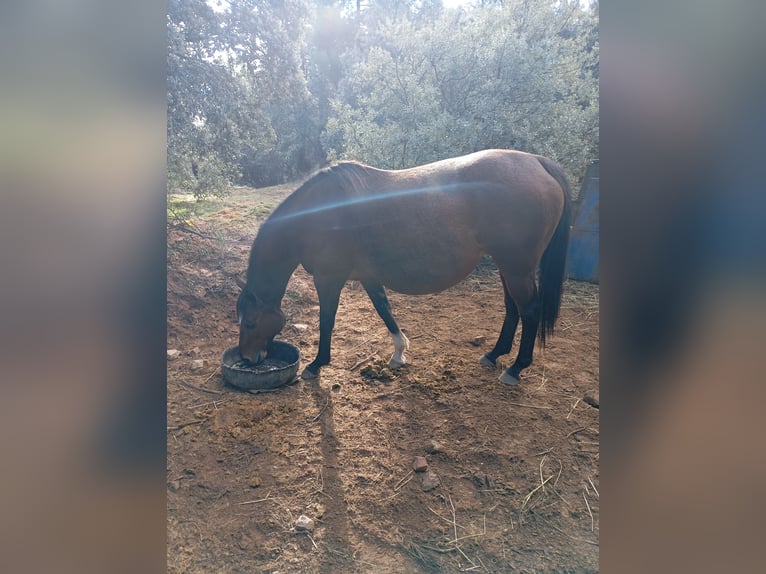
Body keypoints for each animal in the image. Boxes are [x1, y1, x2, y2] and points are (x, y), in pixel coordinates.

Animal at [236, 149, 571, 385]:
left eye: (250, 323)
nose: (247, 359)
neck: (316, 216)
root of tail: (538, 162)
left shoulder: (329, 279)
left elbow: (327, 322)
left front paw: (317, 364)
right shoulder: (367, 276)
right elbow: (385, 310)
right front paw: (399, 353)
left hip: (517, 269)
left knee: (529, 311)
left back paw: (515, 368)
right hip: (508, 267)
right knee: (513, 308)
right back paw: (493, 355)